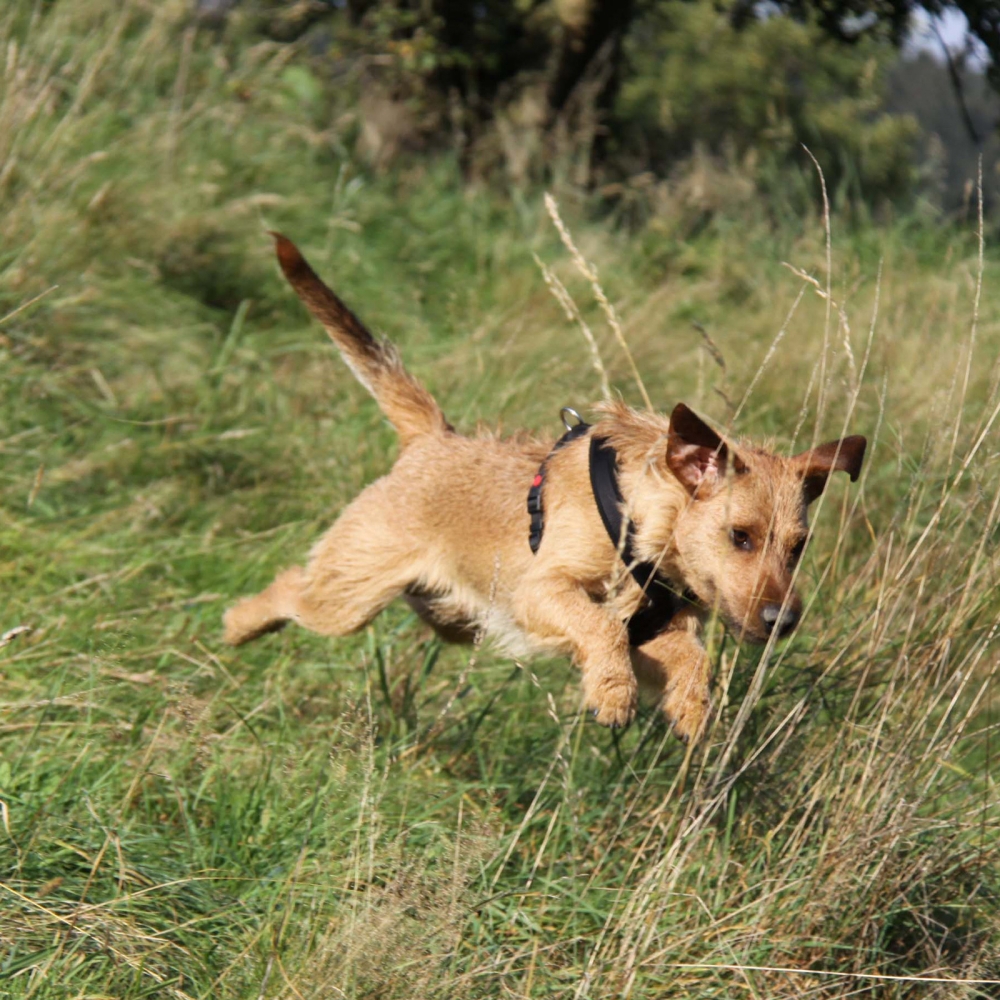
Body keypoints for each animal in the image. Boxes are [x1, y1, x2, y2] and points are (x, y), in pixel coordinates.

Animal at [223, 236, 864, 744]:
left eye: (799, 547)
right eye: (740, 536)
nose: (783, 621)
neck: (637, 521)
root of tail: (433, 438)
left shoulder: (654, 632)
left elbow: (688, 658)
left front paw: (691, 708)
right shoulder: (542, 591)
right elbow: (598, 626)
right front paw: (613, 694)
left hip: (451, 616)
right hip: (349, 596)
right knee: (290, 590)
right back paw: (238, 625)